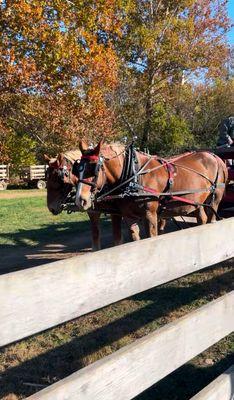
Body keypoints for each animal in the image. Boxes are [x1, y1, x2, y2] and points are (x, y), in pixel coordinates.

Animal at [74, 141, 228, 241]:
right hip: (197, 201)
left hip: (215, 199)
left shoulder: (150, 215)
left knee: (212, 218)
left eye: (94, 168)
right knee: (202, 218)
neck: (134, 175)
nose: (80, 200)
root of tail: (214, 156)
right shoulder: (129, 217)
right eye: (77, 169)